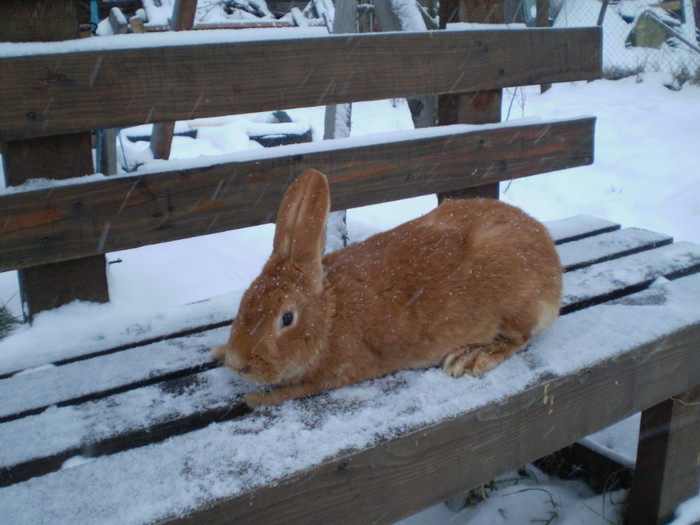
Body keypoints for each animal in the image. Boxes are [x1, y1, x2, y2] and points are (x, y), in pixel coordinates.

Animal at [212, 170, 564, 408]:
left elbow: (298, 389)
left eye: (286, 318)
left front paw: (256, 399)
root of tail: (552, 263)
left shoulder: (339, 372)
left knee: (519, 337)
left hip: (515, 302)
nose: (237, 364)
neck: (331, 313)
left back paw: (469, 358)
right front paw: (219, 352)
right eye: (245, 299)